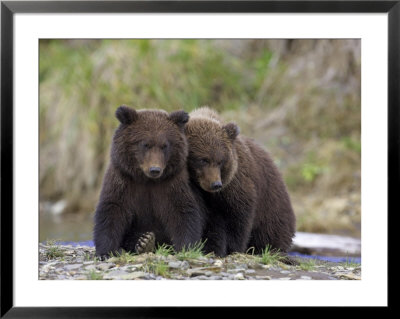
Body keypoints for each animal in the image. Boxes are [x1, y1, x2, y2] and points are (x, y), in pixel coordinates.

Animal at [93, 106, 206, 258]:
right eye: (145, 144)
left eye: (165, 145)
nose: (155, 169)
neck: (147, 180)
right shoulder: (123, 180)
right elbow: (112, 209)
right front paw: (106, 251)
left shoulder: (172, 184)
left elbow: (183, 211)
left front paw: (186, 247)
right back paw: (143, 242)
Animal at [184, 107, 294, 258]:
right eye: (203, 160)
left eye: (221, 161)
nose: (215, 184)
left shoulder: (235, 185)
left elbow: (237, 219)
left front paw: (232, 248)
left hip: (271, 203)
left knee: (271, 231)